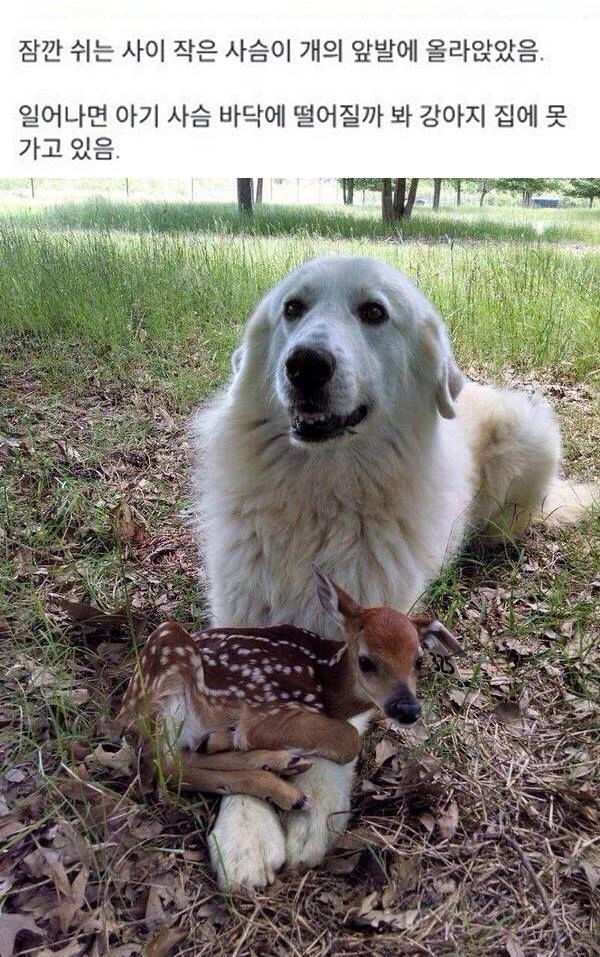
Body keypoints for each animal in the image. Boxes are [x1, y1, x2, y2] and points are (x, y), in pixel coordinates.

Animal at [118, 564, 464, 812]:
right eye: (365, 661)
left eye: (418, 661)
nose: (408, 709)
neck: (325, 684)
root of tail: (123, 713)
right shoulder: (269, 709)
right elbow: (348, 739)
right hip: (167, 660)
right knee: (164, 766)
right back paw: (283, 787)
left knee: (180, 758)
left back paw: (277, 765)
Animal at [195, 256, 596, 888]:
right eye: (293, 308)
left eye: (373, 312)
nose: (305, 364)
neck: (321, 492)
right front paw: (245, 826)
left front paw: (311, 805)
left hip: (527, 432)